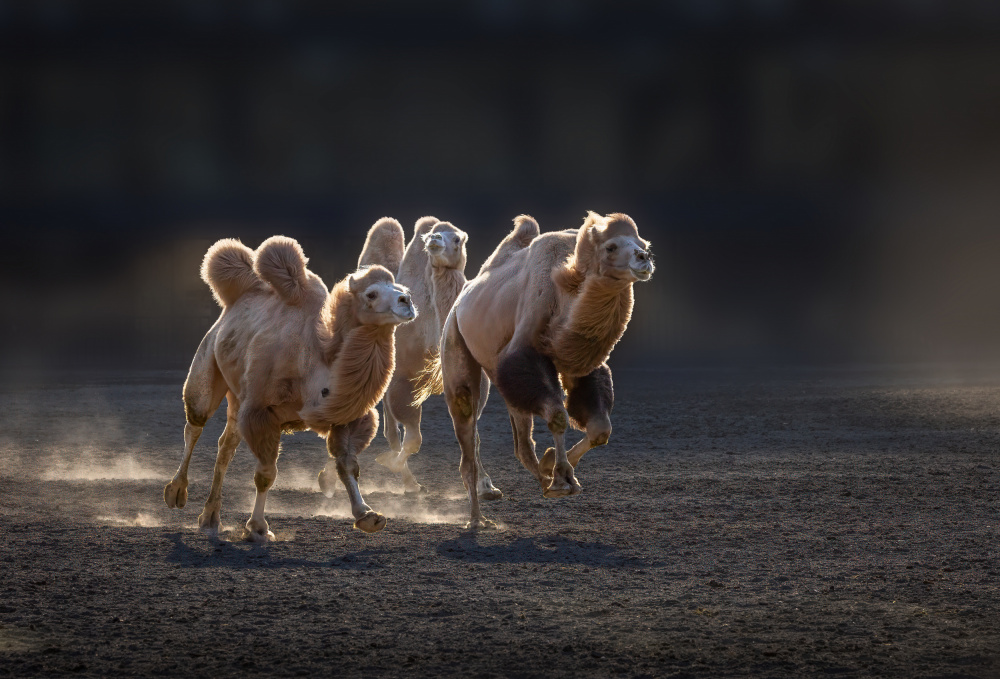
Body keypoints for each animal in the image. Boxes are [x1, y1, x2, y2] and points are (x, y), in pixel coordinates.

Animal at [162, 223, 416, 541]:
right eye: (371, 294)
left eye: (402, 290)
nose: (407, 302)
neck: (319, 359)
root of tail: (231, 305)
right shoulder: (260, 411)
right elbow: (266, 474)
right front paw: (258, 528)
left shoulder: (346, 417)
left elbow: (348, 465)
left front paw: (368, 515)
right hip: (208, 361)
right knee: (195, 422)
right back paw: (176, 492)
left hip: (238, 396)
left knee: (226, 445)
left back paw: (209, 518)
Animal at [429, 212, 653, 528]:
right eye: (611, 247)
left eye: (642, 243)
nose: (644, 258)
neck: (565, 293)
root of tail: (461, 299)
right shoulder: (524, 352)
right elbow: (558, 416)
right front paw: (562, 479)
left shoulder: (580, 362)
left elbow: (600, 429)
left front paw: (554, 468)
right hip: (455, 341)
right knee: (467, 428)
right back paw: (477, 519)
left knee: (521, 443)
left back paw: (538, 479)